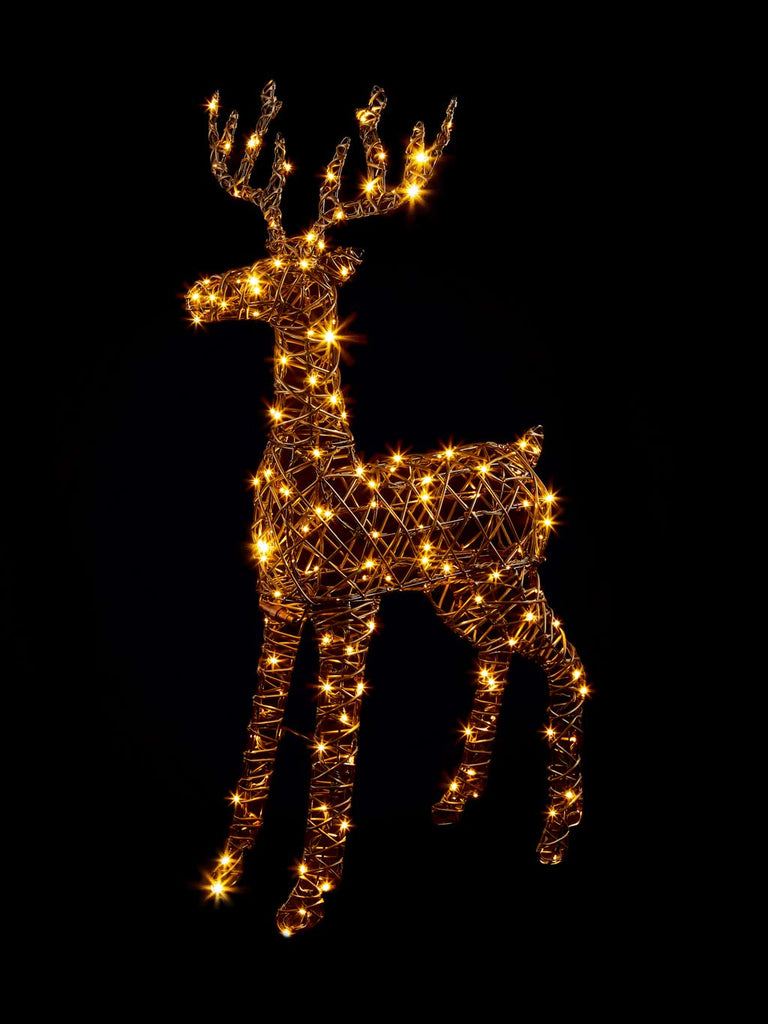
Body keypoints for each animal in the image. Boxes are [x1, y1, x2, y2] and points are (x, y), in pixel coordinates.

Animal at [186, 81, 588, 936]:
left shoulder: (350, 602)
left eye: (293, 271)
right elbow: (261, 731)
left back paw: (554, 839)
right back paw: (453, 802)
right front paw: (228, 871)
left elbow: (335, 741)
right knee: (498, 657)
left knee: (567, 664)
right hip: (463, 593)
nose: (202, 293)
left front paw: (305, 897)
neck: (314, 478)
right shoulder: (278, 600)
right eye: (263, 256)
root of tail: (529, 454)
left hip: (514, 579)